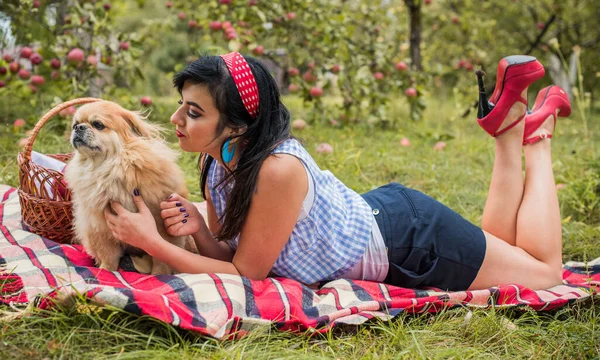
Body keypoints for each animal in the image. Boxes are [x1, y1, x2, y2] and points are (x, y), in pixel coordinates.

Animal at [65, 100, 192, 274]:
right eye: (74, 124)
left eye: (98, 125)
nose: (79, 128)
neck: (108, 168)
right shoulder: (100, 226)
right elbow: (109, 256)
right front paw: (105, 271)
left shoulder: (162, 226)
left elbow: (161, 257)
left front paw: (159, 275)